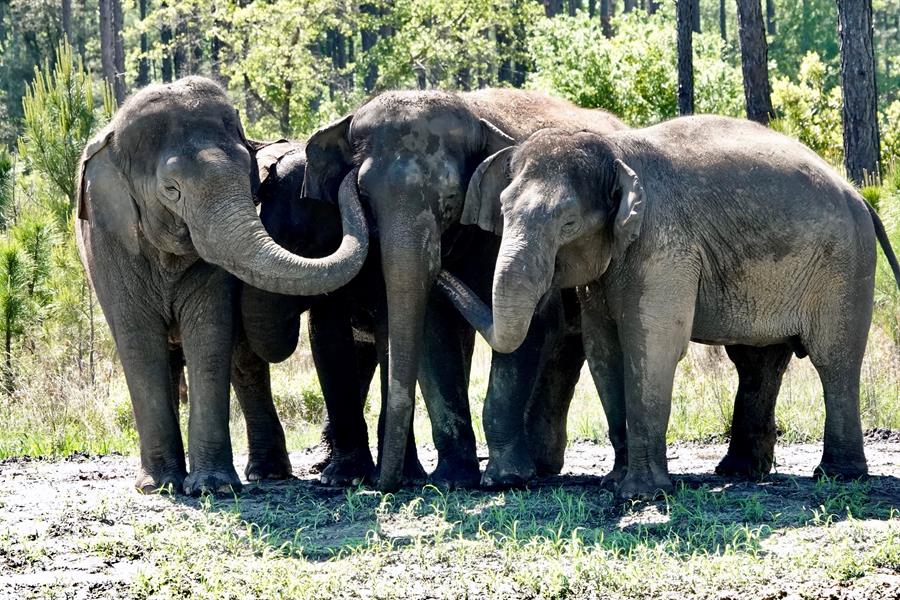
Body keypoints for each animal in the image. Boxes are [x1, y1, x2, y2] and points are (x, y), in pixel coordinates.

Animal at [75, 77, 369, 495]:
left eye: (249, 174)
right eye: (171, 190)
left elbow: (210, 333)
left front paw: (212, 487)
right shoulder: (109, 241)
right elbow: (137, 340)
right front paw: (158, 487)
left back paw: (264, 474)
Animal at [303, 89, 627, 490]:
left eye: (451, 199)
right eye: (363, 196)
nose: (386, 485)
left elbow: (530, 325)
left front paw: (504, 480)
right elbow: (432, 331)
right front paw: (452, 480)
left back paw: (537, 466)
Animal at [438, 116, 900, 500]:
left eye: (568, 224)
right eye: (502, 212)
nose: (440, 270)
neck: (614, 150)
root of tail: (861, 198)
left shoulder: (662, 245)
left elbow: (651, 346)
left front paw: (640, 495)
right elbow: (604, 351)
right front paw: (614, 484)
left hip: (844, 269)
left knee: (833, 360)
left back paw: (837, 475)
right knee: (758, 361)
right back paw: (741, 471)